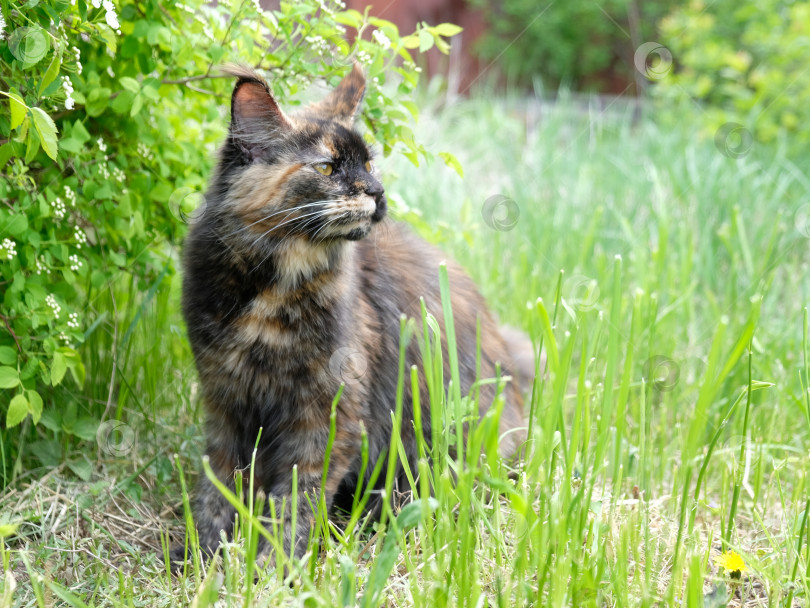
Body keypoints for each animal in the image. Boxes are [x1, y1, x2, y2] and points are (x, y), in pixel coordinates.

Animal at [176, 63, 528, 564]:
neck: (273, 292)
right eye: (327, 167)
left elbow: (296, 501)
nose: (378, 192)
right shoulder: (227, 401)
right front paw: (200, 556)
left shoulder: (327, 416)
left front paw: (274, 566)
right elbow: (219, 487)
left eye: (370, 165)